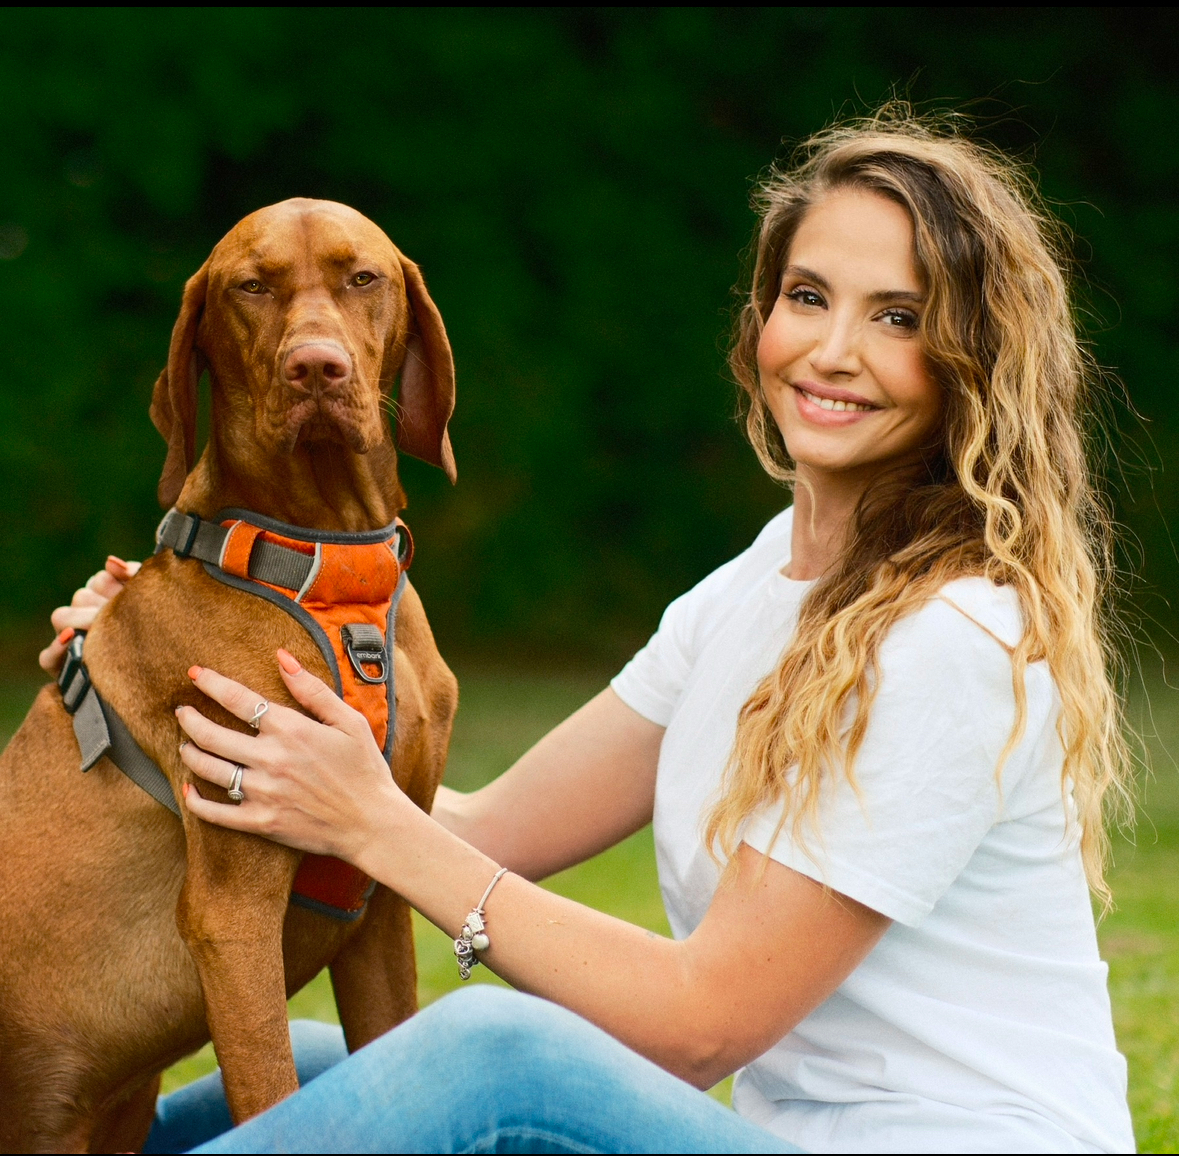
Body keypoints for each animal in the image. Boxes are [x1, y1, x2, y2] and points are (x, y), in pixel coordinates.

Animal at [0, 200, 459, 1156]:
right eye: (252, 286)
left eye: (362, 277)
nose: (315, 366)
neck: (329, 566)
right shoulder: (231, 911)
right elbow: (271, 1094)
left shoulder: (384, 894)